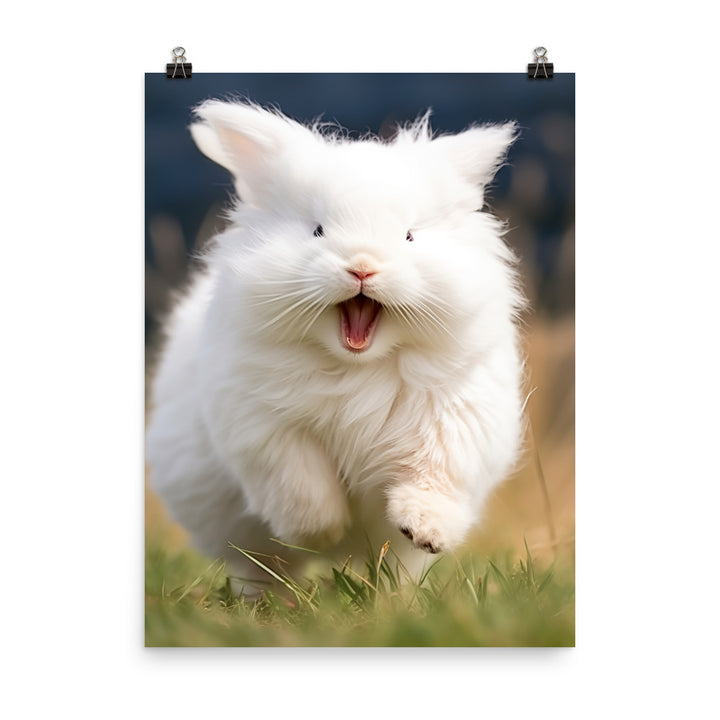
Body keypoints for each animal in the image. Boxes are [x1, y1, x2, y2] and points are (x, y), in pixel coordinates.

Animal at [146, 99, 526, 595]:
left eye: (409, 235)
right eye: (317, 230)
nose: (362, 267)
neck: (357, 364)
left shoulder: (451, 422)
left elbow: (433, 476)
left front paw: (424, 529)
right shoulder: (267, 430)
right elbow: (301, 483)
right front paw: (322, 531)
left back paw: (394, 597)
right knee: (261, 565)